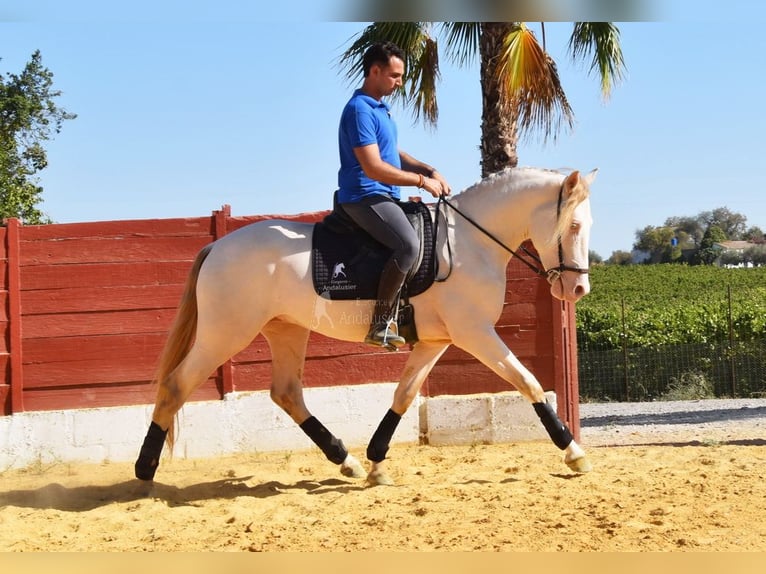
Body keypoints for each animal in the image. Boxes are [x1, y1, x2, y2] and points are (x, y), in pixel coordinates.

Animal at [135, 166, 597, 486]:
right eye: (573, 225)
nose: (577, 289)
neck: (469, 244)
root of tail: (217, 246)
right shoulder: (475, 333)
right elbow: (529, 382)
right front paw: (573, 452)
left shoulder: (436, 341)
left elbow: (404, 394)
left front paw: (376, 460)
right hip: (226, 333)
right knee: (176, 385)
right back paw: (145, 470)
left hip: (286, 330)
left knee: (286, 393)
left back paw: (348, 460)